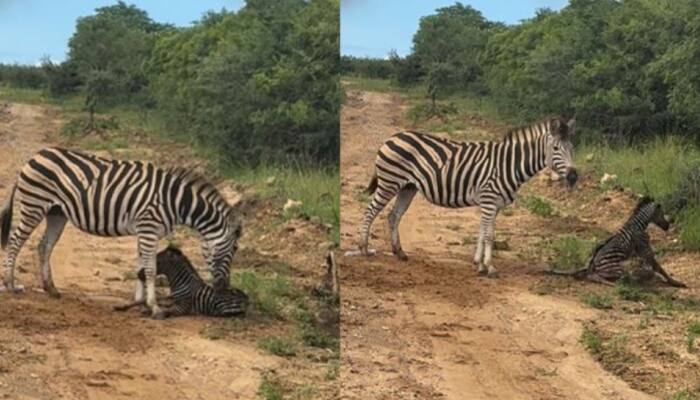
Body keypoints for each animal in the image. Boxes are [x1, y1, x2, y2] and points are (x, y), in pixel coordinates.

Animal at [114, 246, 248, 318]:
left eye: (157, 262)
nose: (139, 274)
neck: (182, 283)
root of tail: (246, 297)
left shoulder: (182, 308)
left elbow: (166, 310)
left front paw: (154, 313)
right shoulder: (171, 299)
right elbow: (146, 301)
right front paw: (122, 307)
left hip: (224, 309)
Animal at [359, 117, 578, 277]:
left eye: (572, 148)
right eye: (556, 148)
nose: (574, 177)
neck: (508, 165)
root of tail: (392, 137)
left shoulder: (494, 205)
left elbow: (483, 232)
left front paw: (479, 263)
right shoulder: (489, 200)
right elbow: (489, 235)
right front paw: (489, 267)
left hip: (407, 187)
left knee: (393, 216)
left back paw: (399, 252)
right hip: (389, 182)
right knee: (369, 212)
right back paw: (364, 249)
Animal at [551, 197, 686, 287]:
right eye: (662, 214)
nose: (668, 226)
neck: (638, 226)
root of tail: (592, 263)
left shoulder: (639, 252)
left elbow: (655, 268)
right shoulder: (645, 250)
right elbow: (659, 268)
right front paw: (676, 283)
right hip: (619, 268)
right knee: (596, 277)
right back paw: (622, 282)